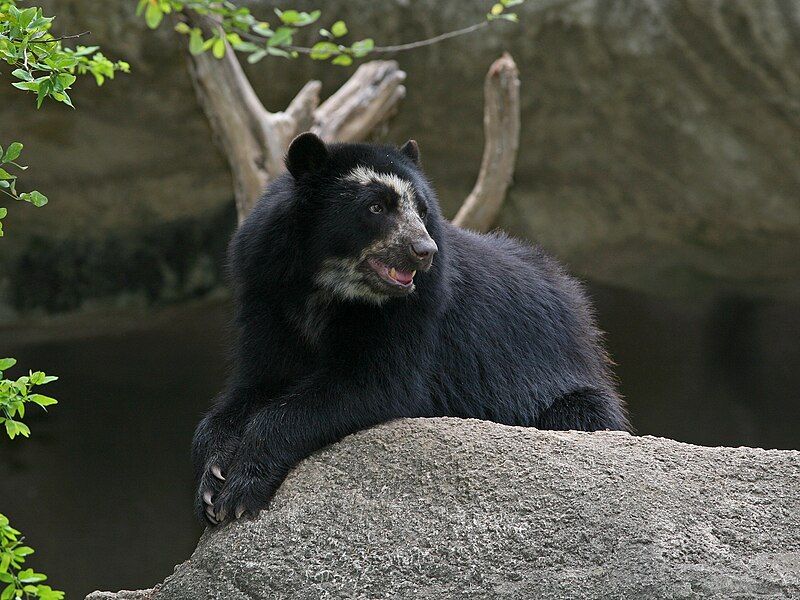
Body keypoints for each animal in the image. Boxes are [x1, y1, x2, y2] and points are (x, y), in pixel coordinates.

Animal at [192, 132, 624, 524]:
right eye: (375, 206)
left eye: (423, 209)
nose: (424, 251)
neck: (326, 286)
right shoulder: (265, 291)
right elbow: (254, 384)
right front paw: (213, 479)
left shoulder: (416, 311)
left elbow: (374, 383)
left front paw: (241, 489)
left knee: (580, 415)